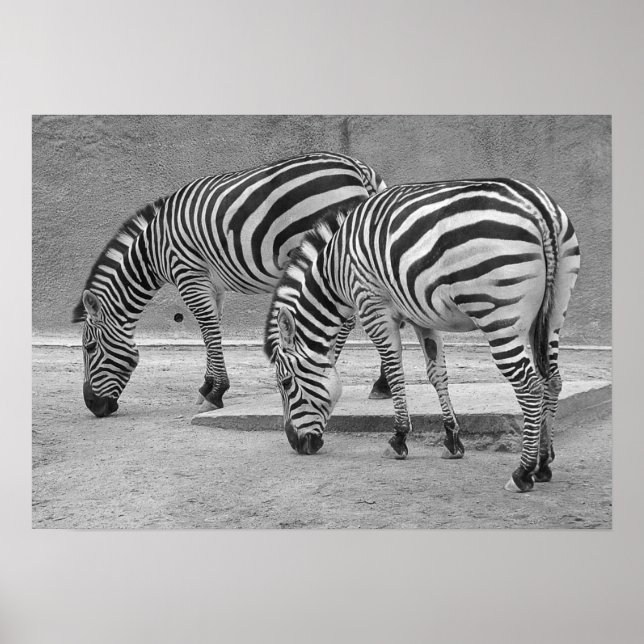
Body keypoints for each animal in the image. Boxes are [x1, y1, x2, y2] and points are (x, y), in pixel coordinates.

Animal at [71, 151, 389, 418]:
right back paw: (381, 384)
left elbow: (208, 328)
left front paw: (216, 393)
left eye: (89, 347)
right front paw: (207, 386)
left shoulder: (188, 274)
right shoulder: (212, 284)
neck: (152, 248)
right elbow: (212, 330)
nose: (92, 406)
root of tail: (359, 168)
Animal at [264, 179, 580, 492]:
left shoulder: (372, 307)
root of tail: (539, 207)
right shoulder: (421, 316)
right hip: (554, 311)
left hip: (499, 316)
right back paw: (544, 463)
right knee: (552, 380)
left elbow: (395, 371)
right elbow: (436, 373)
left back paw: (523, 472)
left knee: (530, 386)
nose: (297, 445)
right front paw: (452, 441)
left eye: (286, 383)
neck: (335, 270)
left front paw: (399, 439)